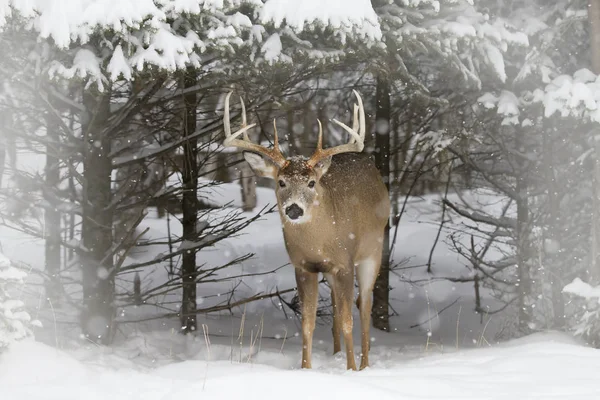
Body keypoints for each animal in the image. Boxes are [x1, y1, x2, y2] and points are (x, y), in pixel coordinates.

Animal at [223, 90, 392, 372]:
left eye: (312, 183)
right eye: (281, 182)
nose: (293, 209)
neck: (319, 242)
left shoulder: (345, 262)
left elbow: (348, 320)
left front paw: (351, 369)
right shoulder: (303, 266)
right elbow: (307, 322)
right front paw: (306, 369)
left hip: (373, 253)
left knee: (364, 304)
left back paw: (365, 363)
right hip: (332, 272)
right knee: (336, 304)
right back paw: (336, 353)